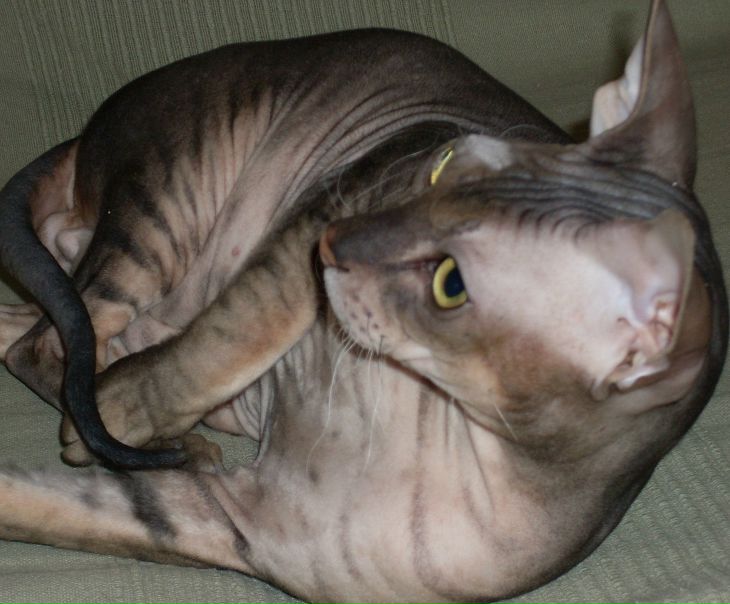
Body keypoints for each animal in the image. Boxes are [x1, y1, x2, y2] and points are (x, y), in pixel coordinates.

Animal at [0, 0, 726, 602]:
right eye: (442, 168)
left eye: (452, 283)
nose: (338, 240)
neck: (443, 434)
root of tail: (91, 129)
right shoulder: (338, 196)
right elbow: (234, 335)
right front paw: (125, 407)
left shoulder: (230, 523)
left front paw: (120, 411)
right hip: (176, 191)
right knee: (59, 327)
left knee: (37, 327)